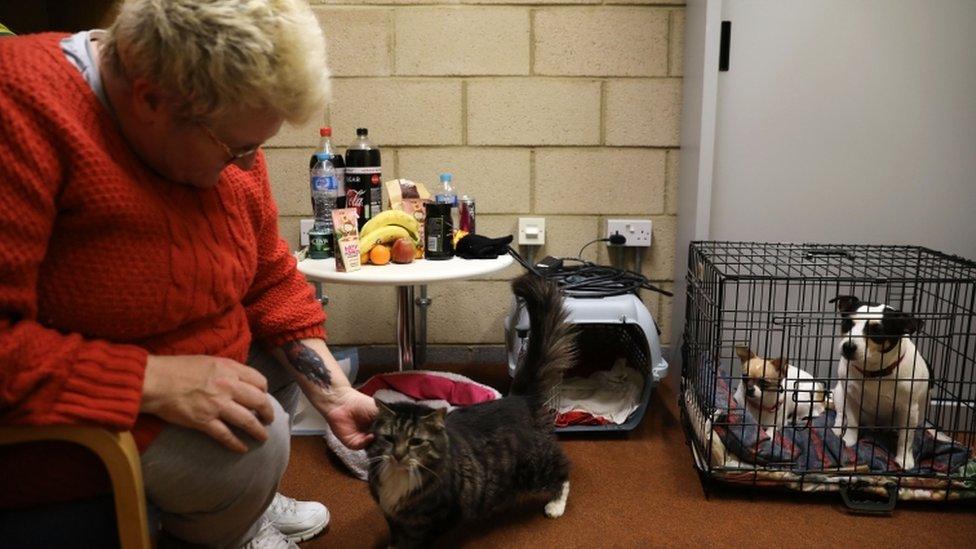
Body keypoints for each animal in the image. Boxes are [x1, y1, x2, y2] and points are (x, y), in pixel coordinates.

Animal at [370, 272, 576, 544]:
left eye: (416, 442)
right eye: (388, 438)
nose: (398, 455)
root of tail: (519, 398)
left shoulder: (439, 519)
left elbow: (418, 541)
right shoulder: (393, 518)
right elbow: (396, 538)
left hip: (535, 466)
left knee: (563, 471)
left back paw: (555, 505)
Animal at [832, 294, 932, 468]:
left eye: (877, 331)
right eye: (847, 323)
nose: (848, 346)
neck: (875, 372)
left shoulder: (909, 409)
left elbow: (906, 438)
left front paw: (904, 459)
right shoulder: (850, 397)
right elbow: (852, 422)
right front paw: (849, 440)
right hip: (839, 393)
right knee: (840, 414)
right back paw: (838, 430)